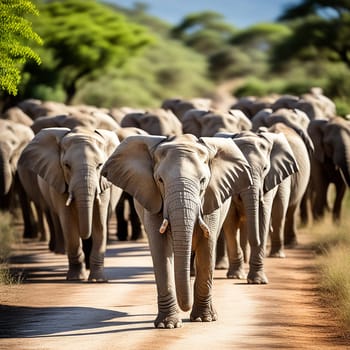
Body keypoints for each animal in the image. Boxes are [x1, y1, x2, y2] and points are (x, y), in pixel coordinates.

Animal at [17, 126, 121, 282]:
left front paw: (97, 280)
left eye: (100, 166)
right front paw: (76, 278)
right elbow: (69, 225)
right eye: (67, 165)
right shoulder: (59, 182)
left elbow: (99, 224)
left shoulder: (102, 185)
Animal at [102, 133, 253, 328]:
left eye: (203, 181)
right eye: (160, 180)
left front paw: (204, 319)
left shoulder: (210, 199)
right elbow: (161, 249)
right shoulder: (153, 200)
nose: (185, 309)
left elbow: (207, 246)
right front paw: (168, 325)